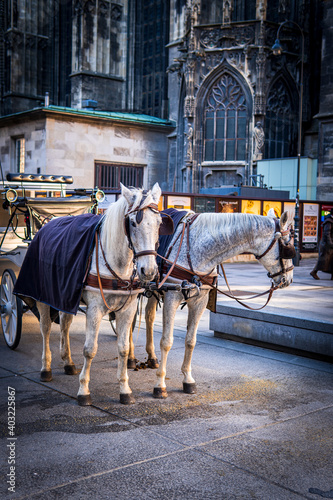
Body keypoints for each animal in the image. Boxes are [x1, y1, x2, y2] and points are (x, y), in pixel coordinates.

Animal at [37, 184, 164, 406]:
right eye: (133, 222)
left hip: (65, 295)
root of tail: (48, 223)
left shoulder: (128, 309)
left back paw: (68, 361)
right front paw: (84, 390)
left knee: (65, 323)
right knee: (45, 328)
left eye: (159, 223)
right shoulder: (94, 309)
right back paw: (46, 367)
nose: (148, 271)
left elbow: (123, 348)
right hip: (44, 296)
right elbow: (90, 349)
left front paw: (124, 389)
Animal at [140, 210, 294, 398]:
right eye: (288, 246)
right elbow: (166, 341)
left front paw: (188, 379)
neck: (197, 247)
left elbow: (190, 341)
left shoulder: (200, 301)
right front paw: (160, 384)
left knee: (148, 316)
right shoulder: (171, 297)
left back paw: (151, 357)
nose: (289, 279)